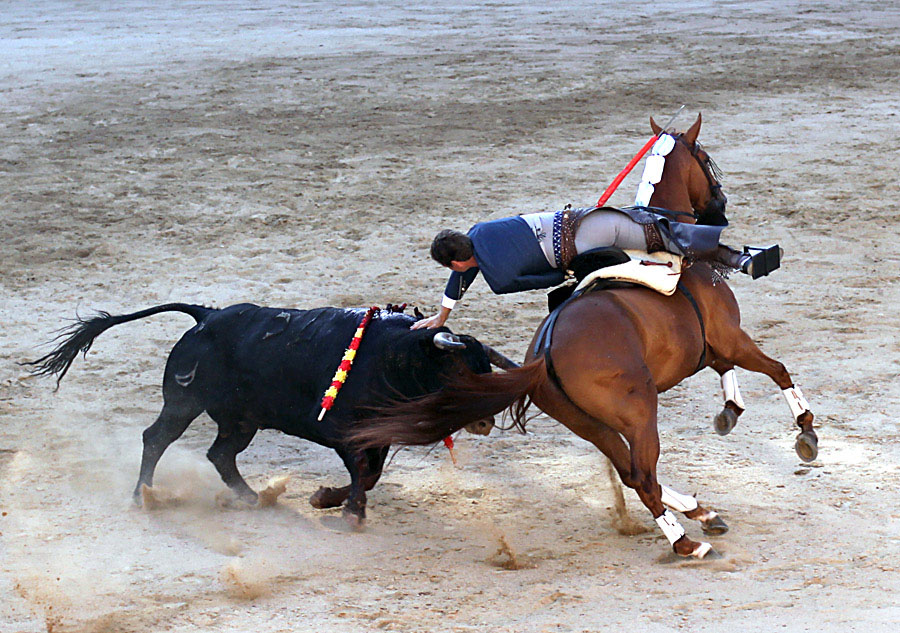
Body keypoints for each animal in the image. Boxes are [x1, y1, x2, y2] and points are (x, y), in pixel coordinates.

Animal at [28, 302, 510, 524]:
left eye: (486, 366)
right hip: (183, 403)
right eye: (459, 367)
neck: (398, 354)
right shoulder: (345, 433)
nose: (486, 418)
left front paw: (327, 499)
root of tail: (206, 316)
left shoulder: (378, 434)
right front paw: (351, 512)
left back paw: (250, 496)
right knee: (157, 438)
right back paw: (142, 496)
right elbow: (362, 471)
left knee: (220, 454)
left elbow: (370, 474)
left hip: (242, 420)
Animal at [352, 115, 816, 556]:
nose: (720, 205)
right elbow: (776, 369)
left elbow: (727, 369)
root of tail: (543, 356)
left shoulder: (711, 344)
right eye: (705, 160)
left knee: (631, 473)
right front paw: (805, 430)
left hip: (590, 425)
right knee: (643, 475)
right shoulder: (730, 334)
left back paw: (699, 513)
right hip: (640, 411)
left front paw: (731, 410)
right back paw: (688, 542)